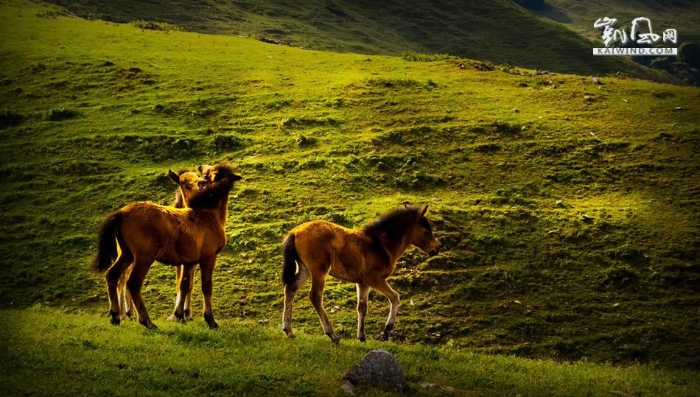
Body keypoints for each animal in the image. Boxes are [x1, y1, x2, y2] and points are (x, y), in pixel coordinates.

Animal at [91, 164, 242, 328]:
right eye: (209, 172)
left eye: (205, 173)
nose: (201, 168)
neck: (208, 215)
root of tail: (121, 212)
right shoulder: (209, 258)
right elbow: (206, 287)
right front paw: (210, 319)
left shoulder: (189, 262)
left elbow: (184, 284)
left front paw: (180, 315)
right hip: (143, 257)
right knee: (132, 283)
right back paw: (146, 321)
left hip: (127, 254)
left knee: (112, 275)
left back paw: (115, 316)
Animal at [284, 204, 438, 340]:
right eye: (427, 230)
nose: (436, 249)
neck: (380, 245)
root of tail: (294, 232)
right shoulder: (374, 279)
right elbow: (395, 297)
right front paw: (386, 331)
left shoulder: (362, 283)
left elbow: (362, 307)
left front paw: (362, 337)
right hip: (319, 270)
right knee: (315, 296)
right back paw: (332, 335)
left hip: (305, 269)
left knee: (291, 288)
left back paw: (288, 331)